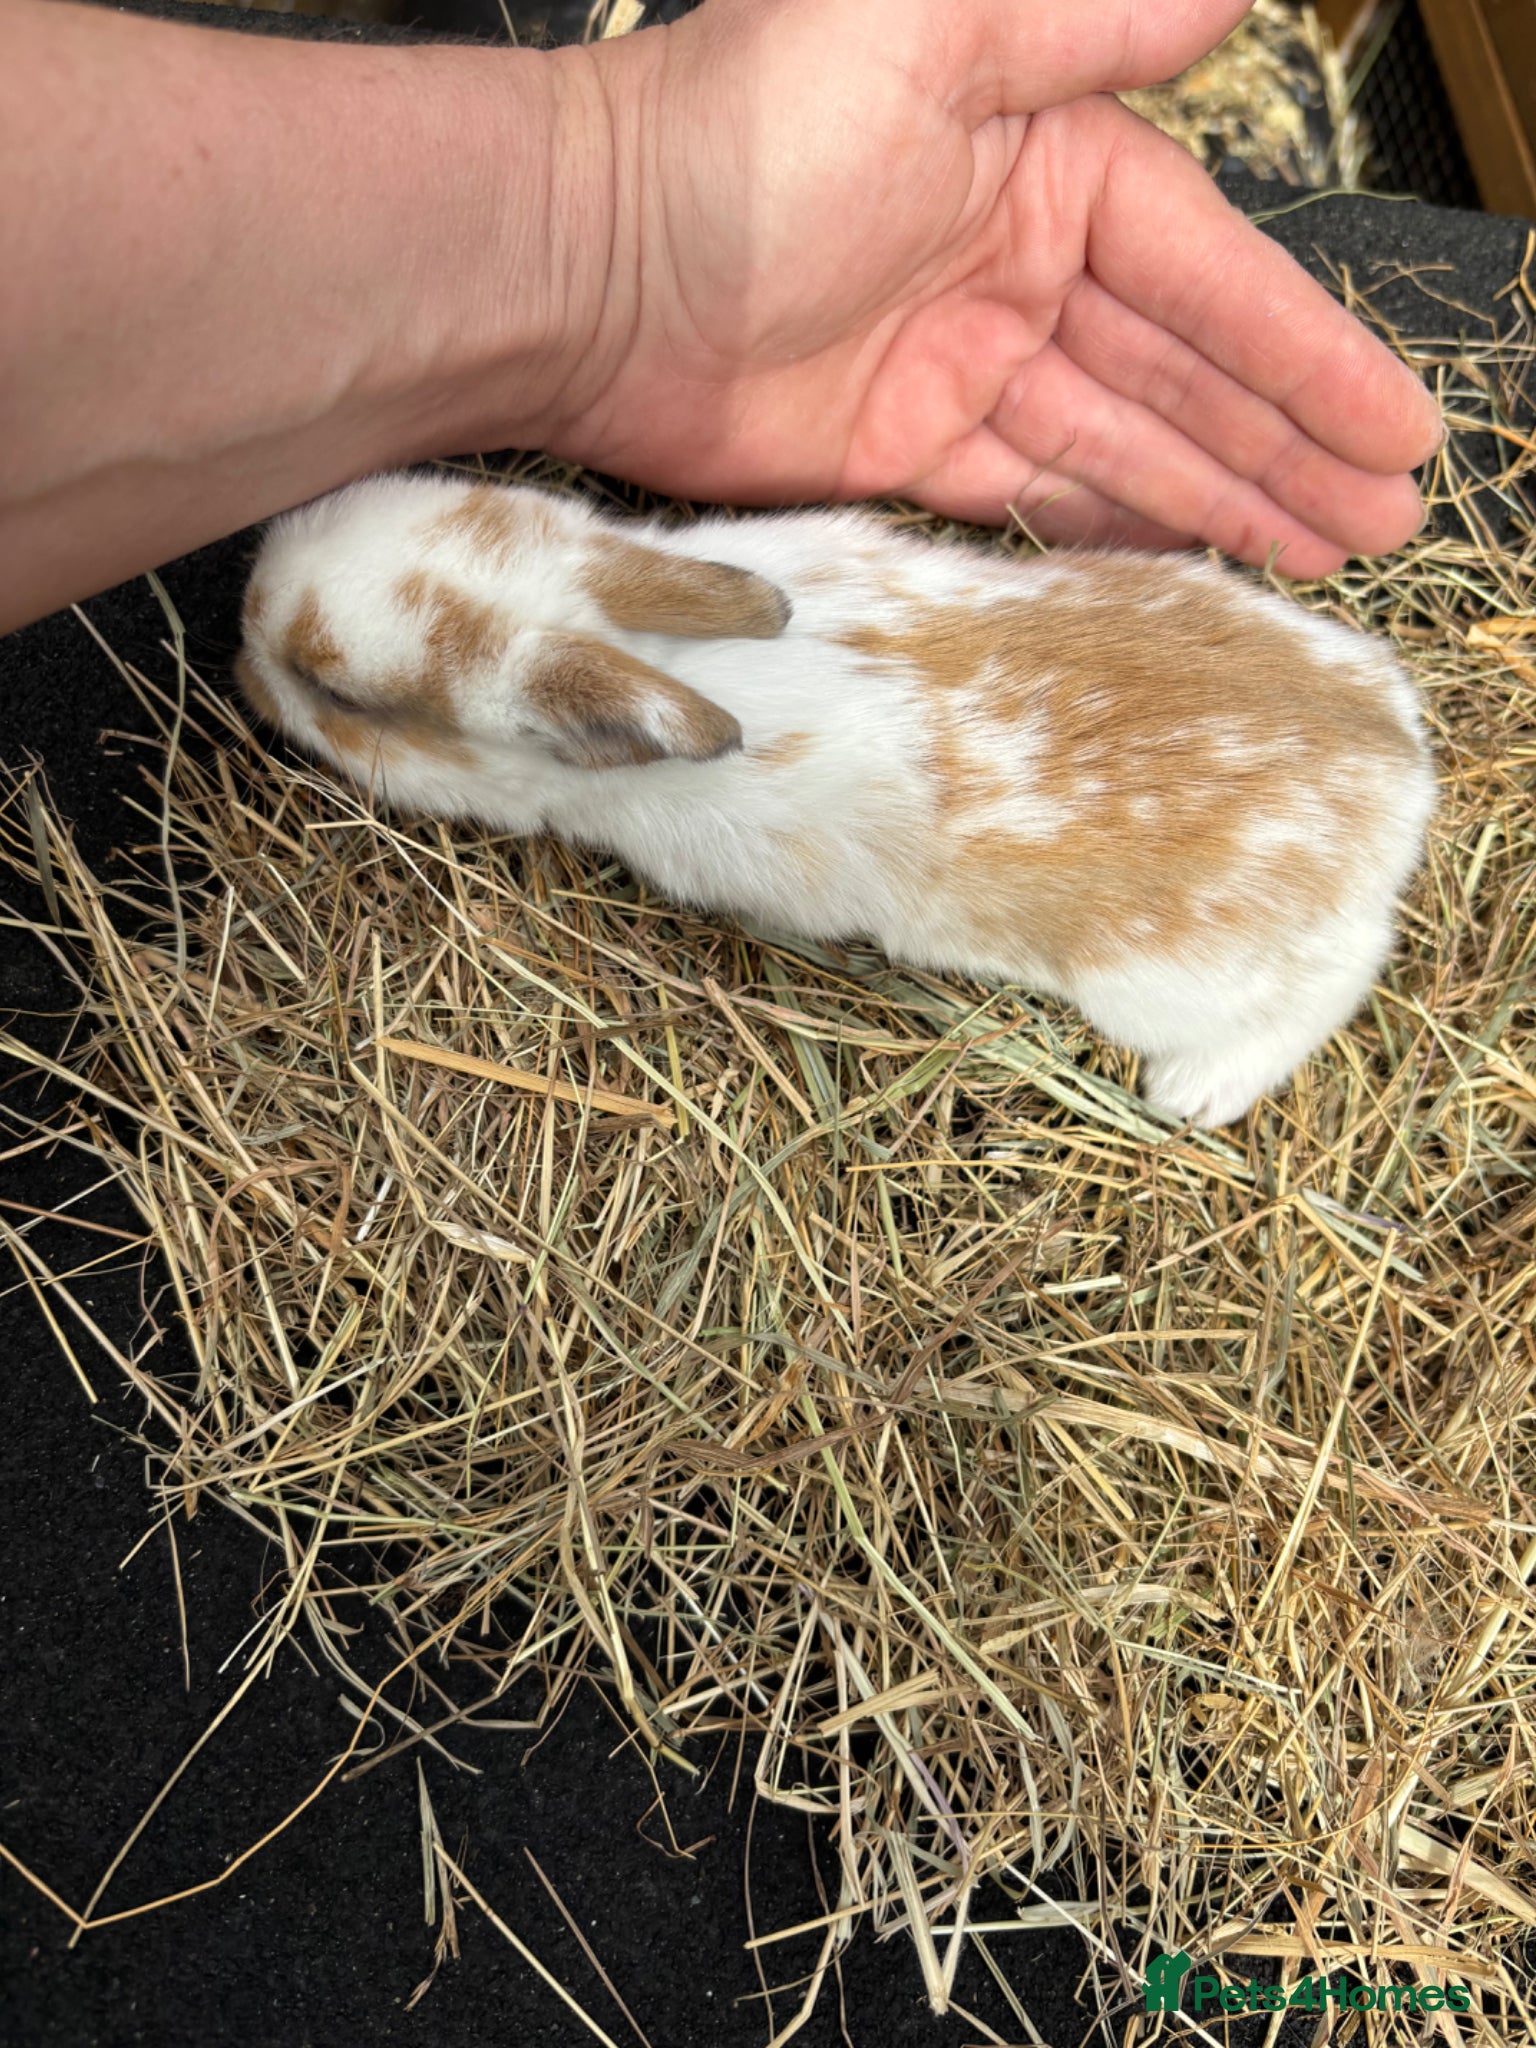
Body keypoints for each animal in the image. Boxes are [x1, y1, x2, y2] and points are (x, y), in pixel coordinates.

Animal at [236, 471, 1436, 1127]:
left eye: (342, 694)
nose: (242, 619)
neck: (652, 652)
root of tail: (1399, 763)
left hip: (1184, 980)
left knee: (1329, 990)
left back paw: (1191, 1091)